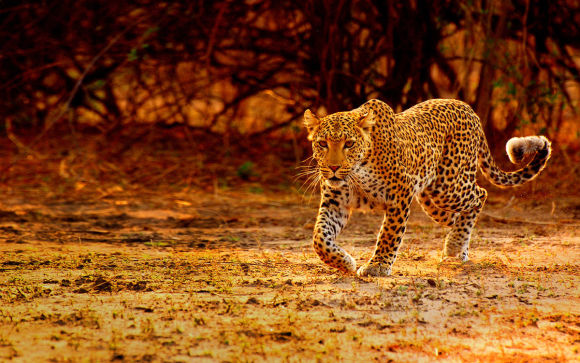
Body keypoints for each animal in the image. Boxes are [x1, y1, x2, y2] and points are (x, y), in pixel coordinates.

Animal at [304, 98, 552, 278]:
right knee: (457, 216)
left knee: (480, 194)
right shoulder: (335, 202)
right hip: (431, 199)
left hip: (448, 187)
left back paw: (454, 246)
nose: (333, 168)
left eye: (349, 144)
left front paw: (377, 266)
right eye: (322, 143)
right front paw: (345, 262)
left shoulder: (400, 194)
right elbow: (320, 238)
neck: (358, 172)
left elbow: (389, 234)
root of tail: (469, 109)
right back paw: (458, 246)